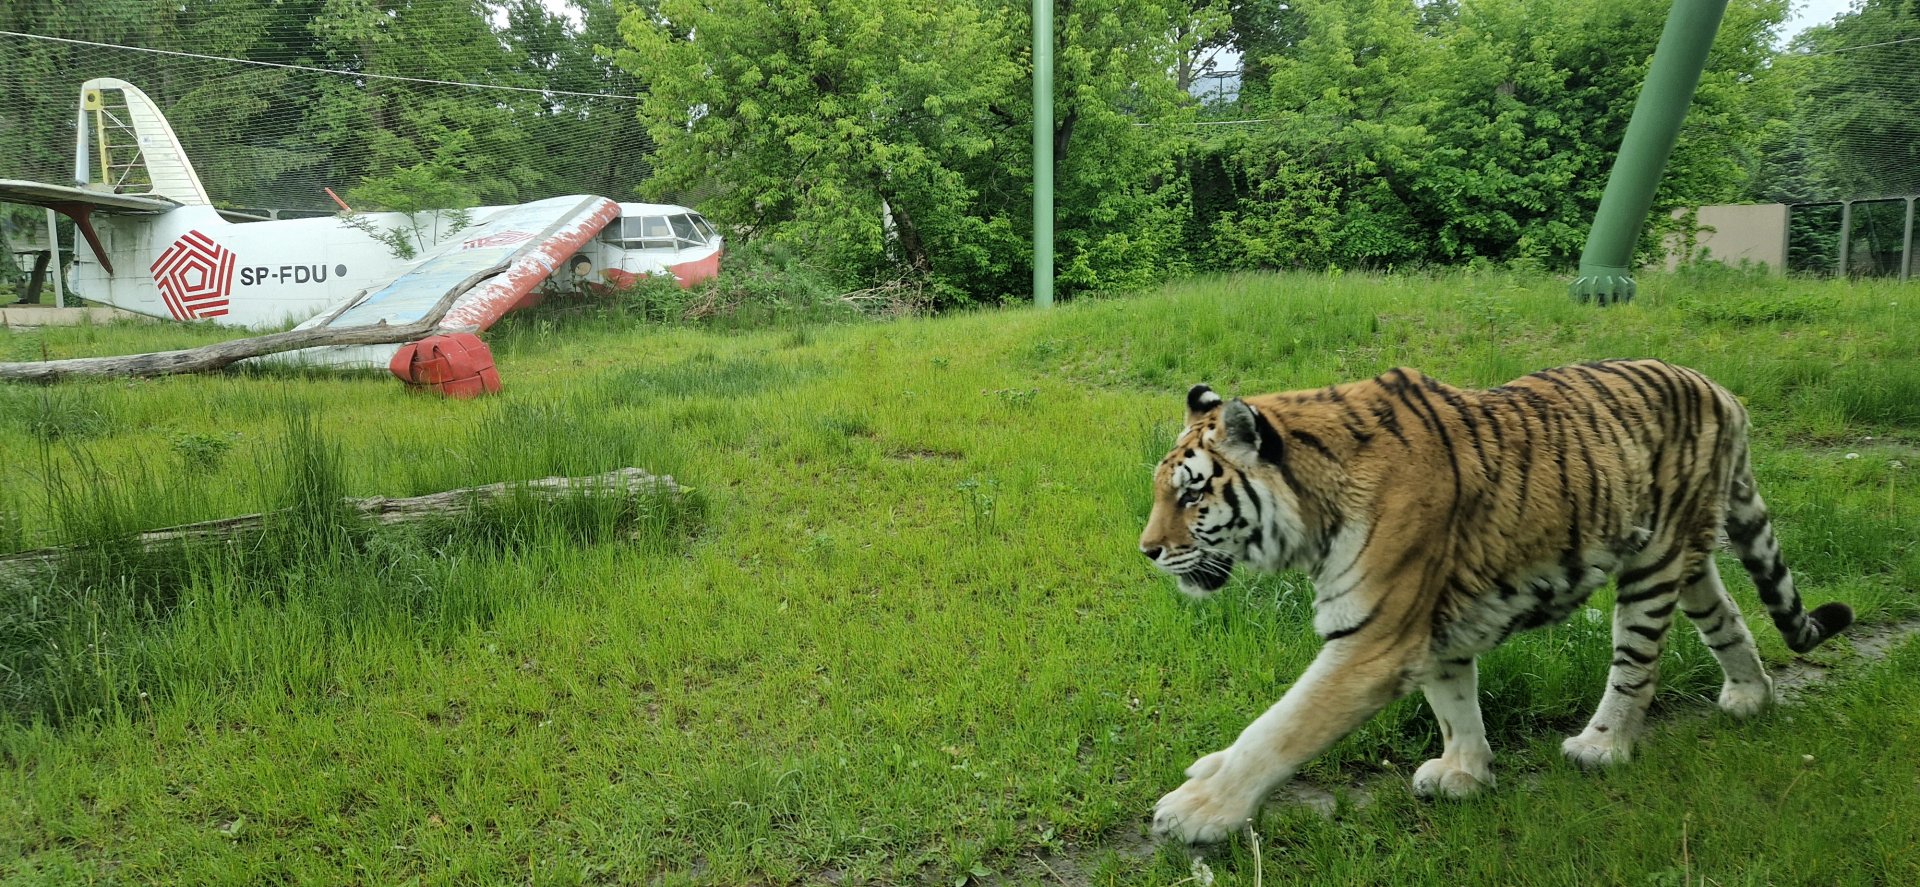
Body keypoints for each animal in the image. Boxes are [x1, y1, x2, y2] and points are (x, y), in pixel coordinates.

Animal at [1139, 359, 1853, 844]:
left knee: (1636, 666)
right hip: (1690, 556)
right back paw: (1750, 697)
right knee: (1728, 619)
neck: (1313, 509)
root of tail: (1722, 391)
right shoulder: (1434, 625)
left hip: (1653, 567)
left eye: (1191, 494)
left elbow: (1278, 729)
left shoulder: (1375, 639)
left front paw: (1197, 812)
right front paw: (1465, 774)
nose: (1146, 551)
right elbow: (1455, 702)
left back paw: (1602, 748)